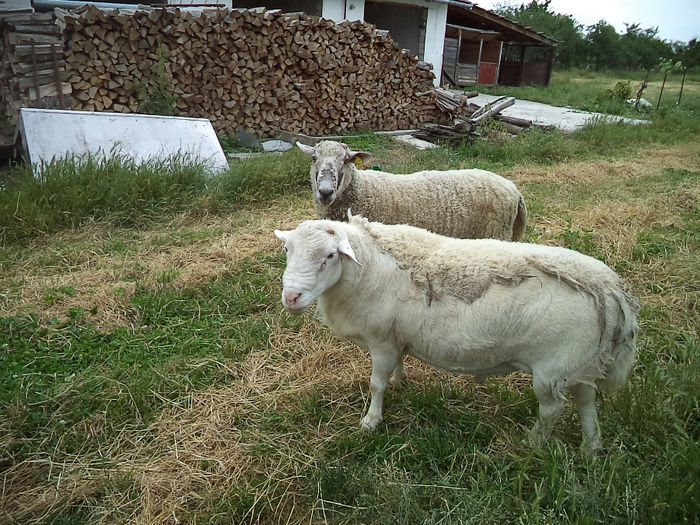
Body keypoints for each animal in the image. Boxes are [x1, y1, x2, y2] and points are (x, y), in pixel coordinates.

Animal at [274, 213, 640, 450]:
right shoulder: (394, 337)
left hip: (552, 368)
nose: (291, 297)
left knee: (553, 409)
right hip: (579, 362)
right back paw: (592, 446)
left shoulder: (381, 341)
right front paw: (401, 382)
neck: (367, 270)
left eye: (329, 255)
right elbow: (397, 368)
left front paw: (370, 421)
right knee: (586, 400)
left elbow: (376, 384)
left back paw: (534, 442)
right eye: (287, 251)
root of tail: (609, 289)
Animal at [298, 137, 528, 239]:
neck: (362, 190)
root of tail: (514, 190)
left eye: (346, 160)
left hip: (496, 234)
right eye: (314, 158)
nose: (325, 192)